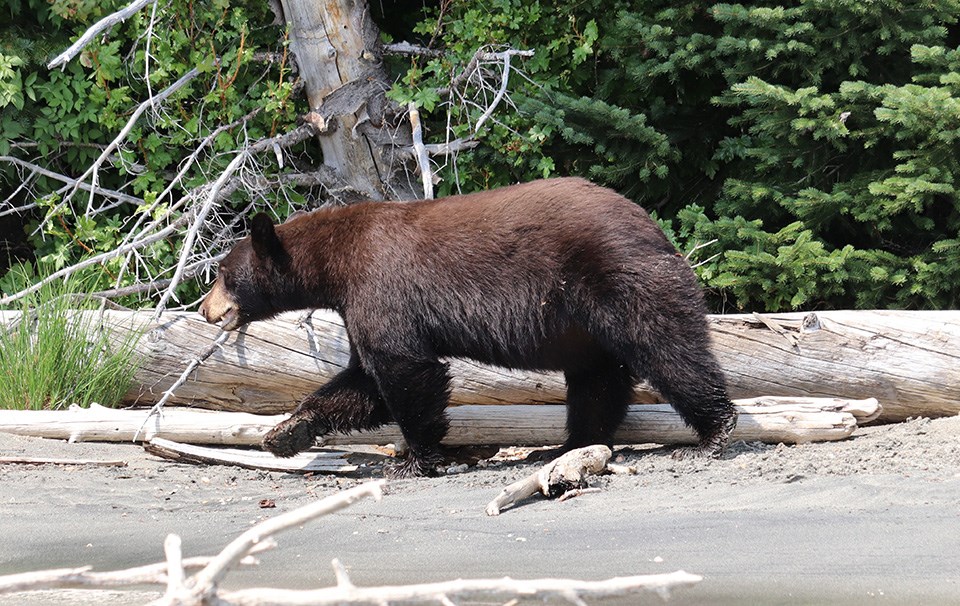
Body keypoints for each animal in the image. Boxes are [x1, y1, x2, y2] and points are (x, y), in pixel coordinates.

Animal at [199, 177, 740, 480]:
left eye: (223, 273)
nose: (206, 309)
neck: (334, 264)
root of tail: (653, 226)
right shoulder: (358, 303)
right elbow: (363, 379)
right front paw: (287, 432)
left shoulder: (380, 285)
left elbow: (404, 368)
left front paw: (415, 459)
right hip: (584, 326)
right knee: (598, 379)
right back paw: (573, 445)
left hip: (618, 278)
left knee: (668, 347)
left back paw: (715, 431)